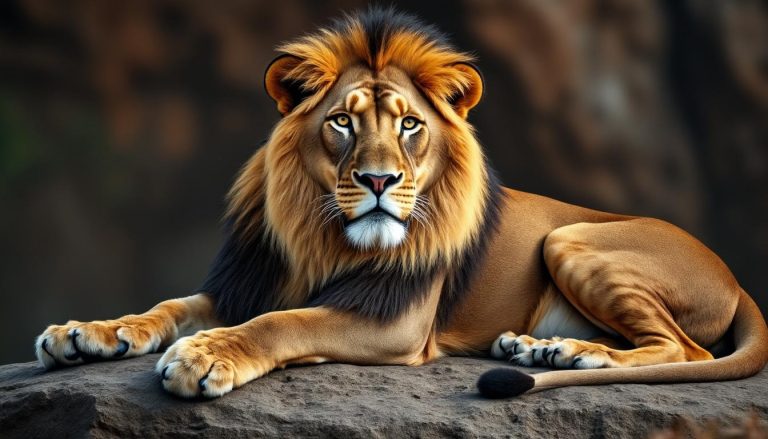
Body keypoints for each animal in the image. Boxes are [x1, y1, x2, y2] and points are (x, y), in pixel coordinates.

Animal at [35, 8, 768, 399]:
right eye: (342, 122)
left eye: (410, 125)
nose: (380, 180)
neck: (318, 235)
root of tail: (736, 277)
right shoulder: (243, 282)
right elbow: (165, 306)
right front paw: (85, 333)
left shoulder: (395, 321)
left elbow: (284, 323)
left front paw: (204, 357)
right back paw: (541, 348)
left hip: (570, 238)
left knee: (682, 350)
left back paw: (570, 355)